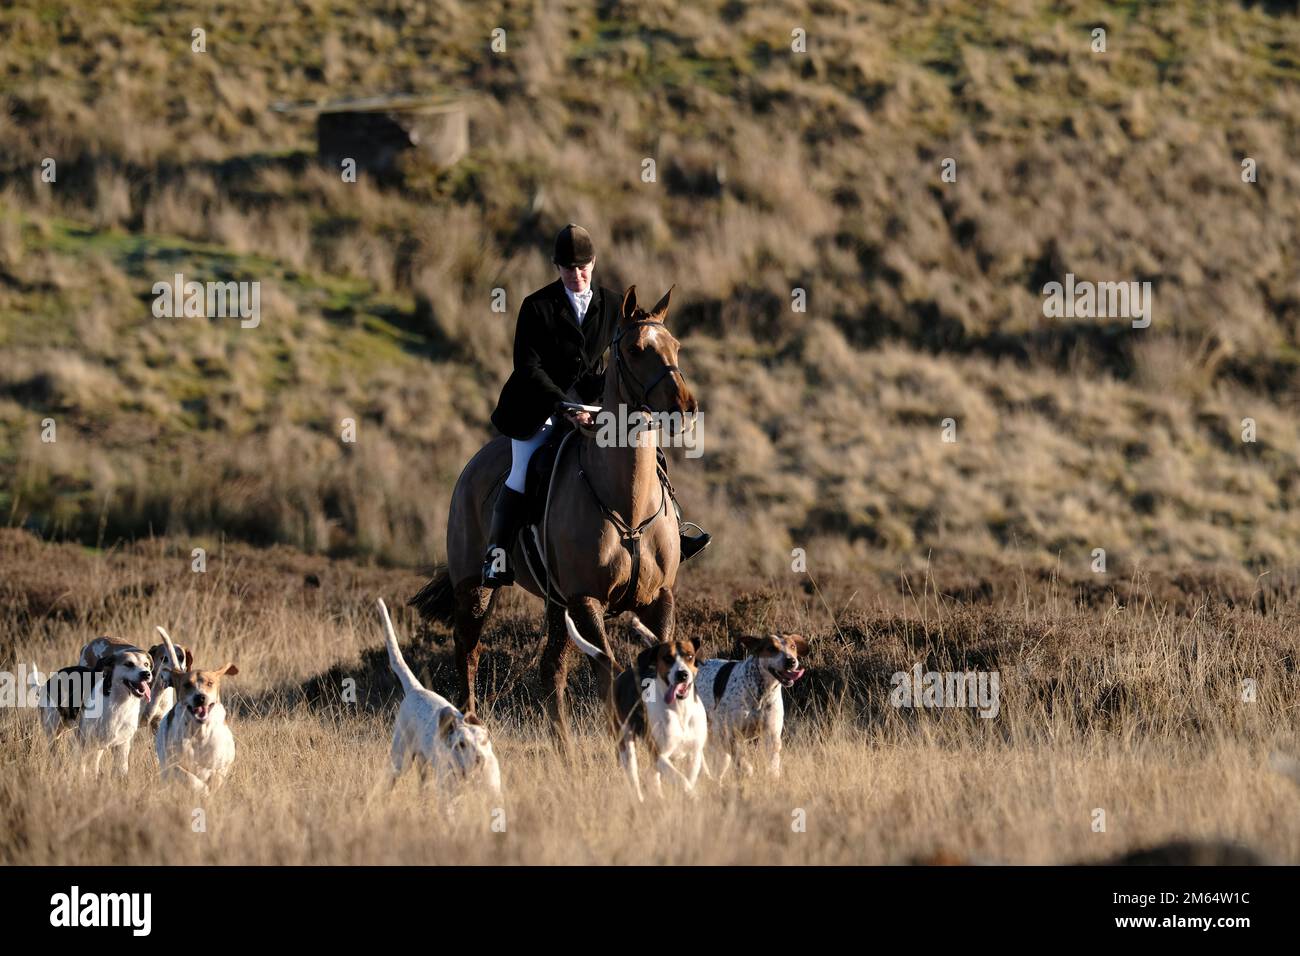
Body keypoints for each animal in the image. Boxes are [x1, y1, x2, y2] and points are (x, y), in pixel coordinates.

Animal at [416, 287, 702, 743]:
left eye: (675, 345)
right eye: (636, 350)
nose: (686, 409)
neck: (627, 503)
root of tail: (473, 464)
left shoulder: (658, 597)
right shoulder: (587, 600)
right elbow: (607, 672)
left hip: (556, 603)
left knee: (551, 670)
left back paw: (563, 747)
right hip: (474, 586)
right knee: (469, 650)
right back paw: (470, 728)